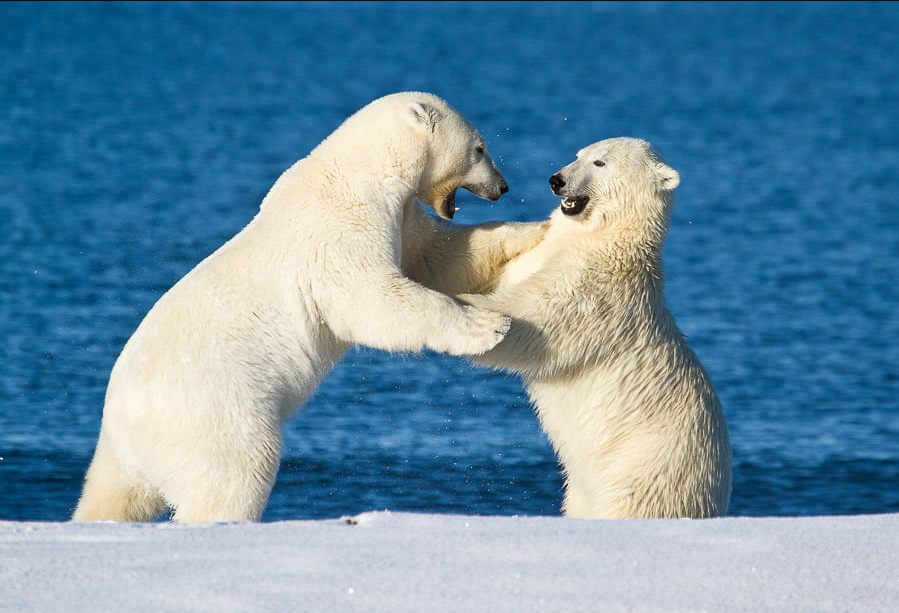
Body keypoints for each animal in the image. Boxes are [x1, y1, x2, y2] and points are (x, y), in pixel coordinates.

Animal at [72, 92, 548, 520]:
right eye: (480, 148)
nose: (502, 186)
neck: (359, 171)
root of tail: (124, 422)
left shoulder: (399, 218)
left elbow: (439, 254)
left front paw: (538, 229)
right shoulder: (342, 229)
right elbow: (374, 298)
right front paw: (490, 325)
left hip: (120, 458)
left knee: (109, 498)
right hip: (213, 414)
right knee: (237, 472)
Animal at [442, 137, 732, 516]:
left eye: (600, 163)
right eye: (578, 154)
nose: (557, 180)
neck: (606, 237)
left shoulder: (600, 287)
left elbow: (536, 317)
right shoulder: (545, 255)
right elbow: (504, 273)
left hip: (646, 469)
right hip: (584, 488)